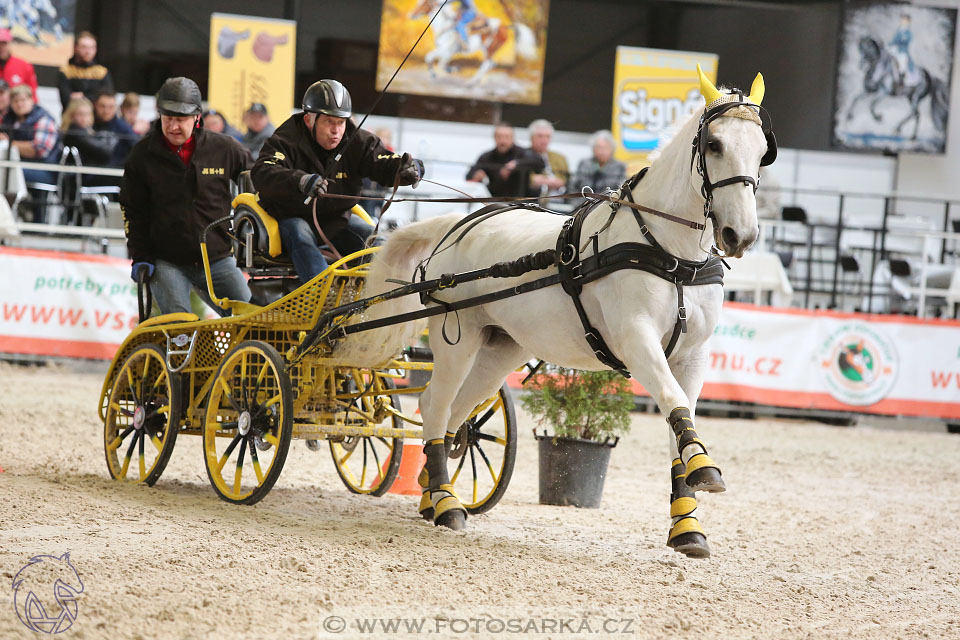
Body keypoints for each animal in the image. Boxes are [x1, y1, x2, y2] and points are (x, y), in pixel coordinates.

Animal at [336, 67, 772, 556]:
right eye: (714, 144)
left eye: (762, 151)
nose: (740, 235)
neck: (669, 252)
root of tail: (460, 223)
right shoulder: (636, 340)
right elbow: (673, 401)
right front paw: (705, 469)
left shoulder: (693, 355)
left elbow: (679, 422)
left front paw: (688, 526)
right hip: (458, 339)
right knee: (435, 404)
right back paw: (446, 504)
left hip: (499, 349)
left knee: (454, 413)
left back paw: (433, 497)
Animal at [406, 0, 536, 86]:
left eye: (423, 4)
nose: (411, 15)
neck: (445, 24)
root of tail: (504, 26)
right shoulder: (448, 52)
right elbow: (436, 61)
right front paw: (439, 73)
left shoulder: (446, 49)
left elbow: (435, 60)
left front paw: (452, 70)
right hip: (488, 50)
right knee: (490, 64)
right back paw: (475, 81)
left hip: (490, 49)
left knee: (487, 64)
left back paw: (471, 82)